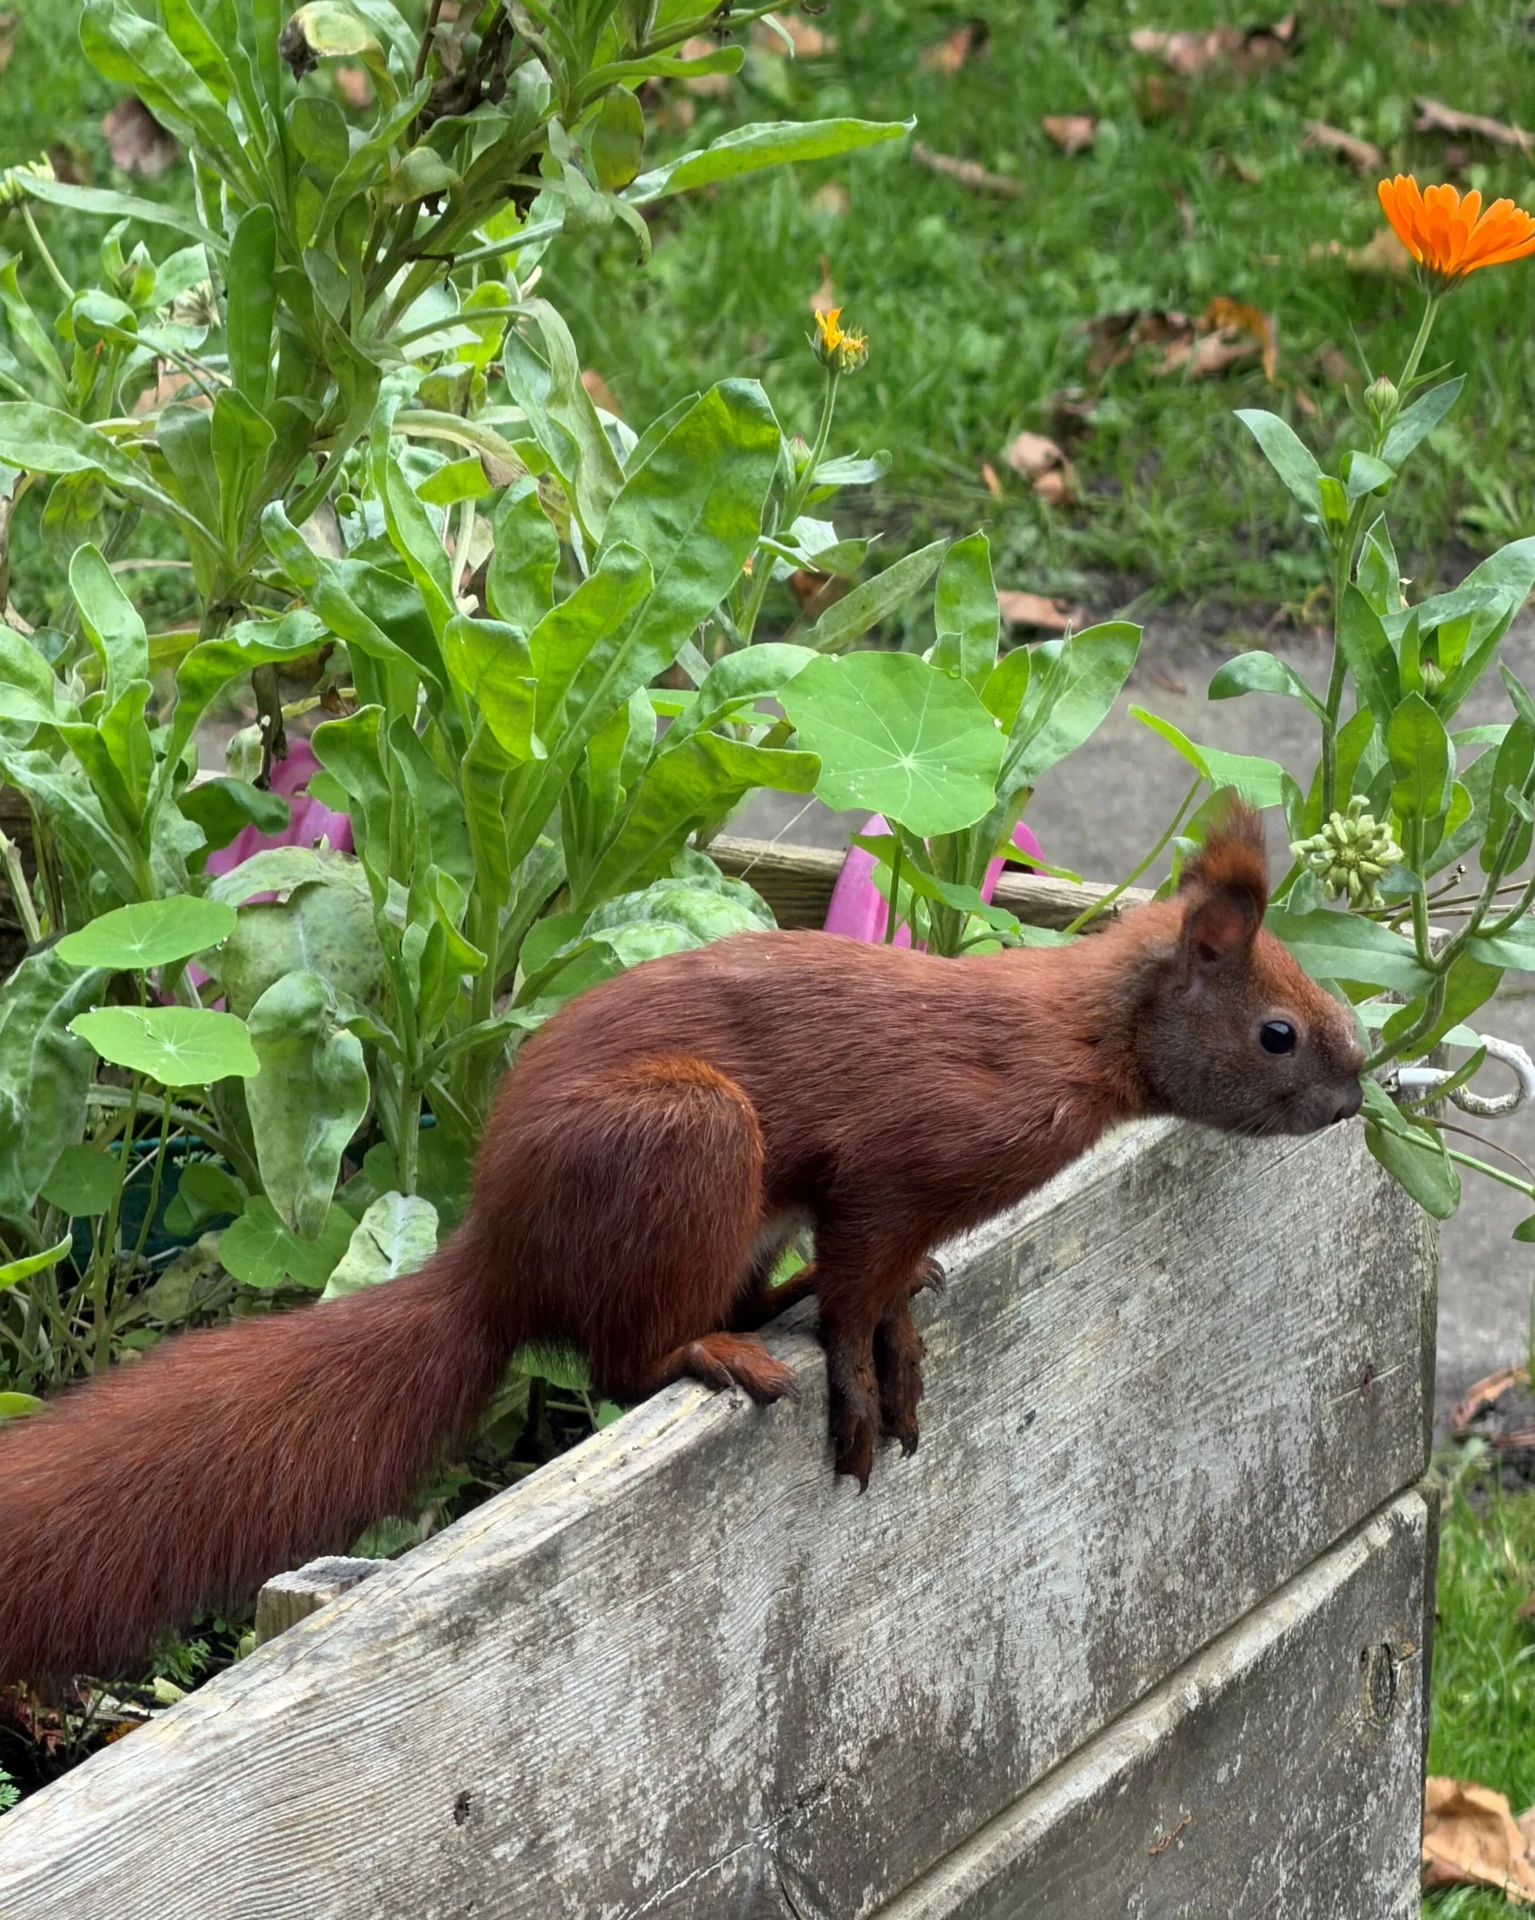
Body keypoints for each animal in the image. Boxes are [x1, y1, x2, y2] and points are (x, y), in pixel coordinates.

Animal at [0, 808, 1363, 1684]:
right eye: (1279, 1032)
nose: (1358, 1093)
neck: (1065, 1039)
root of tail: (497, 1255)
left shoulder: (888, 1202)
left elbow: (880, 1285)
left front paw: (905, 1340)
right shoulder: (895, 1160)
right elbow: (858, 1280)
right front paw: (862, 1389)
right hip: (694, 1140)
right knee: (618, 1356)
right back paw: (712, 1355)